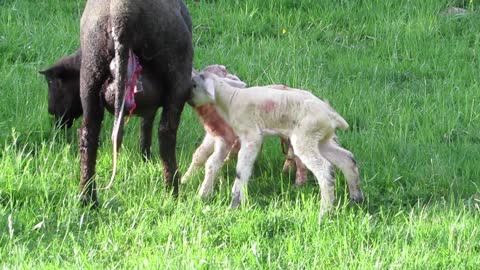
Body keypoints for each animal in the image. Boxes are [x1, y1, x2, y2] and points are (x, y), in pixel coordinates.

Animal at [189, 71, 366, 217]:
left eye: (194, 85)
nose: (188, 99)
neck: (230, 99)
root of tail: (331, 115)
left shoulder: (251, 135)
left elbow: (241, 169)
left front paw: (236, 202)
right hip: (321, 139)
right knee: (347, 158)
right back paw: (356, 198)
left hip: (305, 136)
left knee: (325, 170)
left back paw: (325, 212)